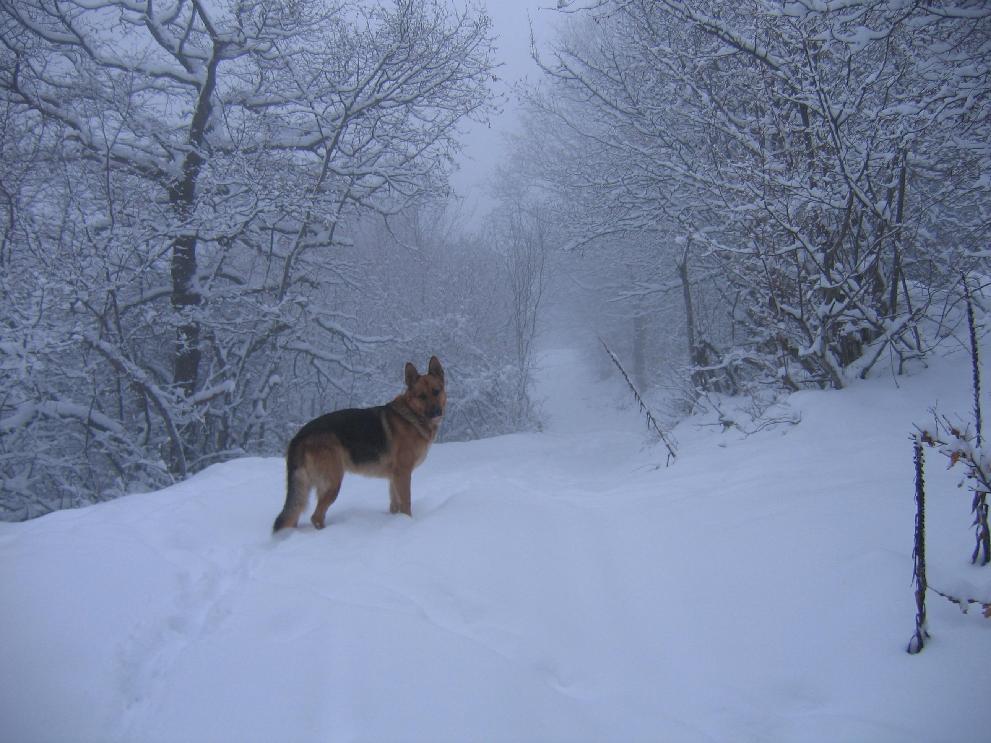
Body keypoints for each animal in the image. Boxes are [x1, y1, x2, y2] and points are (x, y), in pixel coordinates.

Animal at [272, 356, 446, 532]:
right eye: (422, 396)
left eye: (436, 391)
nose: (436, 411)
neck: (412, 416)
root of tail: (299, 435)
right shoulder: (402, 473)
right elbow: (406, 504)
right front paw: (408, 523)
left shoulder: (394, 477)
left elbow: (394, 506)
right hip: (332, 483)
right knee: (316, 517)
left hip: (306, 487)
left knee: (294, 515)